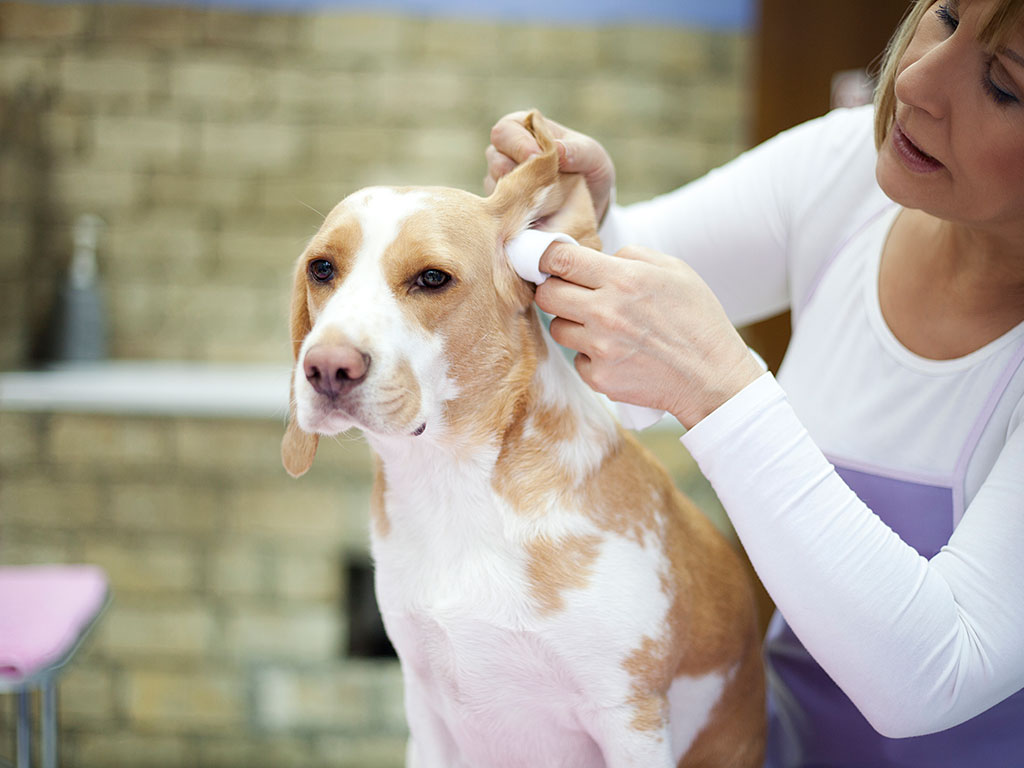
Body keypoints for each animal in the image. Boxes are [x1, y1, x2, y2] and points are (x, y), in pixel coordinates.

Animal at [284, 111, 765, 765]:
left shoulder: (629, 718)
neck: (455, 485)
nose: (327, 368)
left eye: (432, 278)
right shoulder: (426, 718)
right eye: (322, 269)